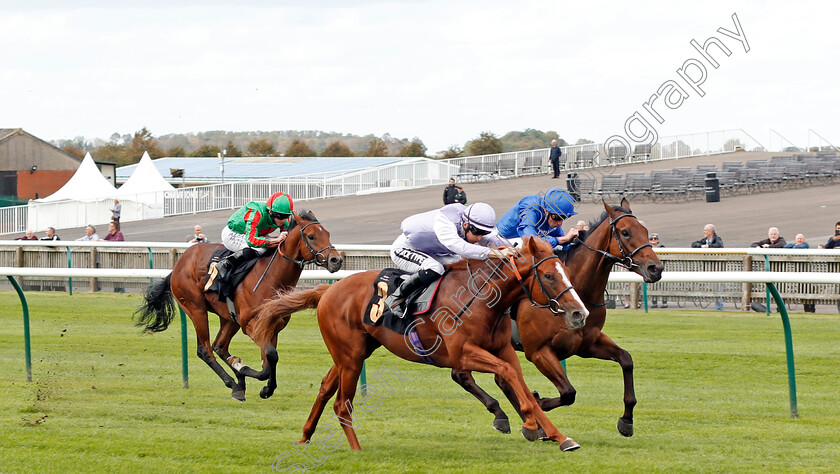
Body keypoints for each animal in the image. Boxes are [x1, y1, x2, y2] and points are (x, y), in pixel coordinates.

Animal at [135, 211, 342, 400]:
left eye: (328, 234)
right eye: (311, 236)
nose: (336, 260)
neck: (270, 278)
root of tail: (178, 265)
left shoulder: (272, 326)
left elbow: (269, 360)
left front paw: (261, 384)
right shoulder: (250, 325)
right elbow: (269, 359)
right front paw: (251, 376)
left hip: (229, 318)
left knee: (219, 346)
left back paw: (239, 381)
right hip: (196, 309)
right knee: (206, 350)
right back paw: (234, 384)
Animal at [256, 237, 592, 452]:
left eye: (564, 271)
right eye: (548, 275)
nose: (580, 313)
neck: (484, 299)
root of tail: (327, 291)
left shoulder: (503, 350)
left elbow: (517, 381)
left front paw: (554, 433)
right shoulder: (462, 354)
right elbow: (506, 375)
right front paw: (532, 424)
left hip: (354, 352)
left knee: (326, 387)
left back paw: (305, 436)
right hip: (350, 357)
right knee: (341, 402)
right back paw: (355, 449)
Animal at [450, 197, 668, 436]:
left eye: (645, 231)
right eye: (626, 232)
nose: (656, 268)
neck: (578, 291)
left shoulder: (587, 344)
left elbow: (626, 360)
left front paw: (627, 420)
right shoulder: (538, 351)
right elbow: (568, 392)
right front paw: (539, 401)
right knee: (462, 374)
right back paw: (503, 415)